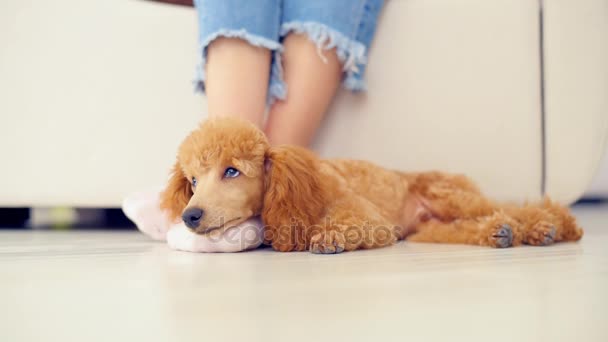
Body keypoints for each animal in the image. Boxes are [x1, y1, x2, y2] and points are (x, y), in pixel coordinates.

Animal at [162, 117, 584, 254]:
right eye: (193, 180)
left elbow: (347, 222)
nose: (190, 216)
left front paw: (330, 237)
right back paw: (500, 232)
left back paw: (549, 226)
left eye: (232, 172)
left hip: (454, 198)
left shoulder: (366, 215)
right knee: (472, 226)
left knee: (514, 208)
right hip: (428, 228)